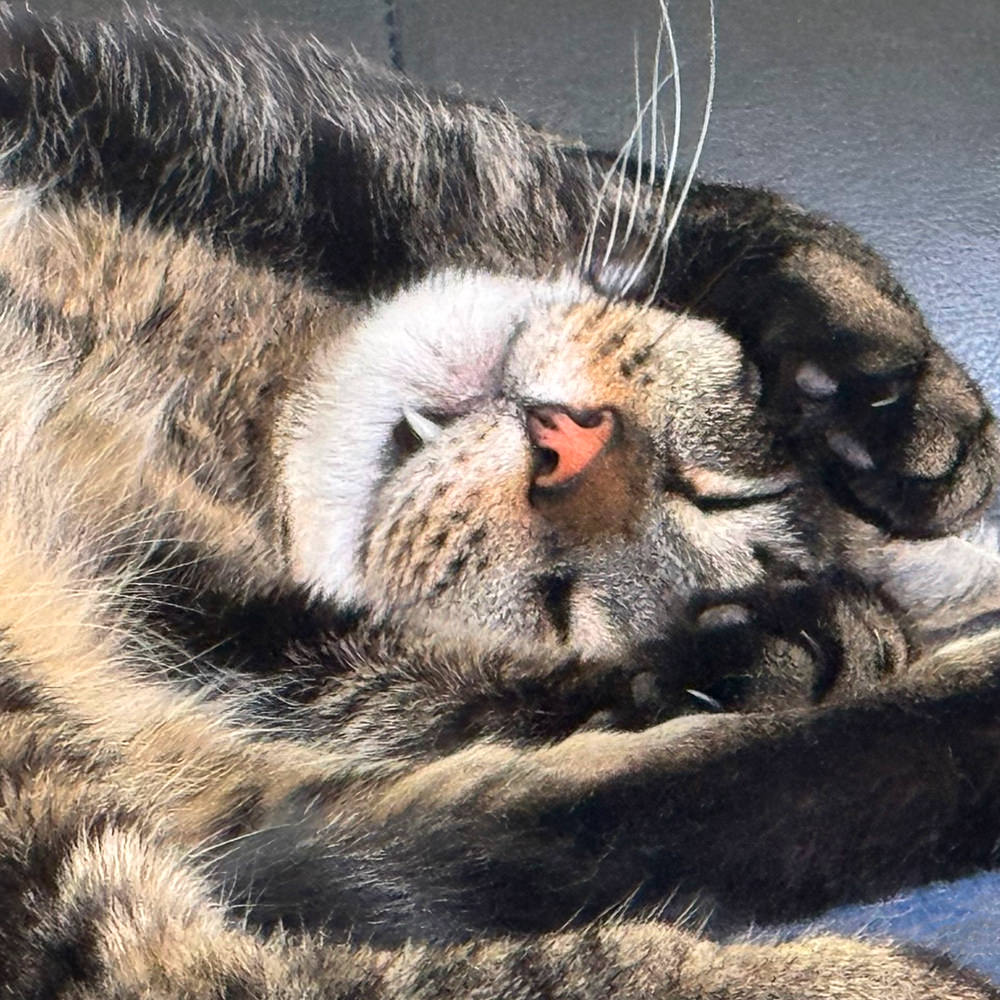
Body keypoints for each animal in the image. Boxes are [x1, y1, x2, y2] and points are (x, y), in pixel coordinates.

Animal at [1, 7, 1000, 1000]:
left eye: (561, 600)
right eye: (711, 486)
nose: (567, 445)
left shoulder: (195, 585)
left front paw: (753, 649)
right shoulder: (213, 95)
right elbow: (643, 194)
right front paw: (876, 382)